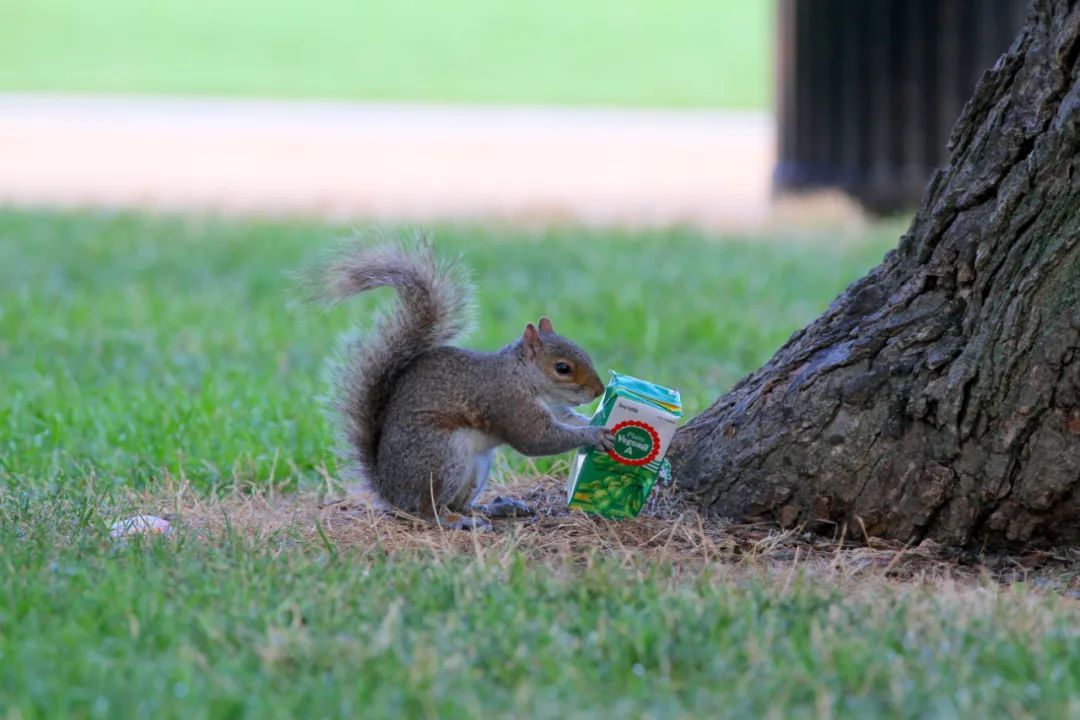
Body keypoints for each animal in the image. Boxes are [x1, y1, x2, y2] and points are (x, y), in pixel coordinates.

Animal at [317, 237, 617, 528]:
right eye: (562, 368)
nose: (599, 390)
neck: (522, 376)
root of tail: (391, 492)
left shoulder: (555, 408)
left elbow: (569, 419)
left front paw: (596, 423)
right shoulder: (510, 402)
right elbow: (537, 440)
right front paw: (594, 434)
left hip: (477, 466)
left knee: (460, 504)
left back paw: (497, 508)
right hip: (442, 457)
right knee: (428, 509)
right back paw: (454, 521)